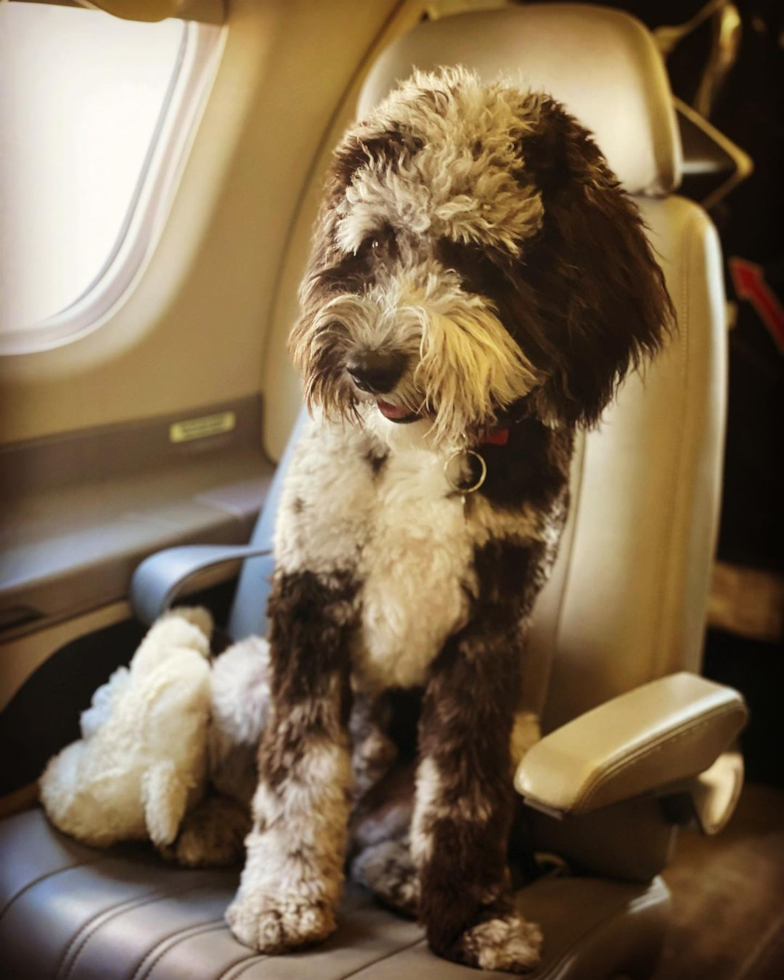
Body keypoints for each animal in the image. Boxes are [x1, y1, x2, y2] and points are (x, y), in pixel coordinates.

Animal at [222, 69, 672, 972]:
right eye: (374, 244)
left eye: (476, 258)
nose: (369, 365)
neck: (425, 449)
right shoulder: (310, 601)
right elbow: (300, 771)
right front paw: (283, 896)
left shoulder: (489, 635)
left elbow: (465, 793)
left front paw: (472, 918)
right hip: (247, 675)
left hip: (525, 727)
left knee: (411, 825)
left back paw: (404, 873)